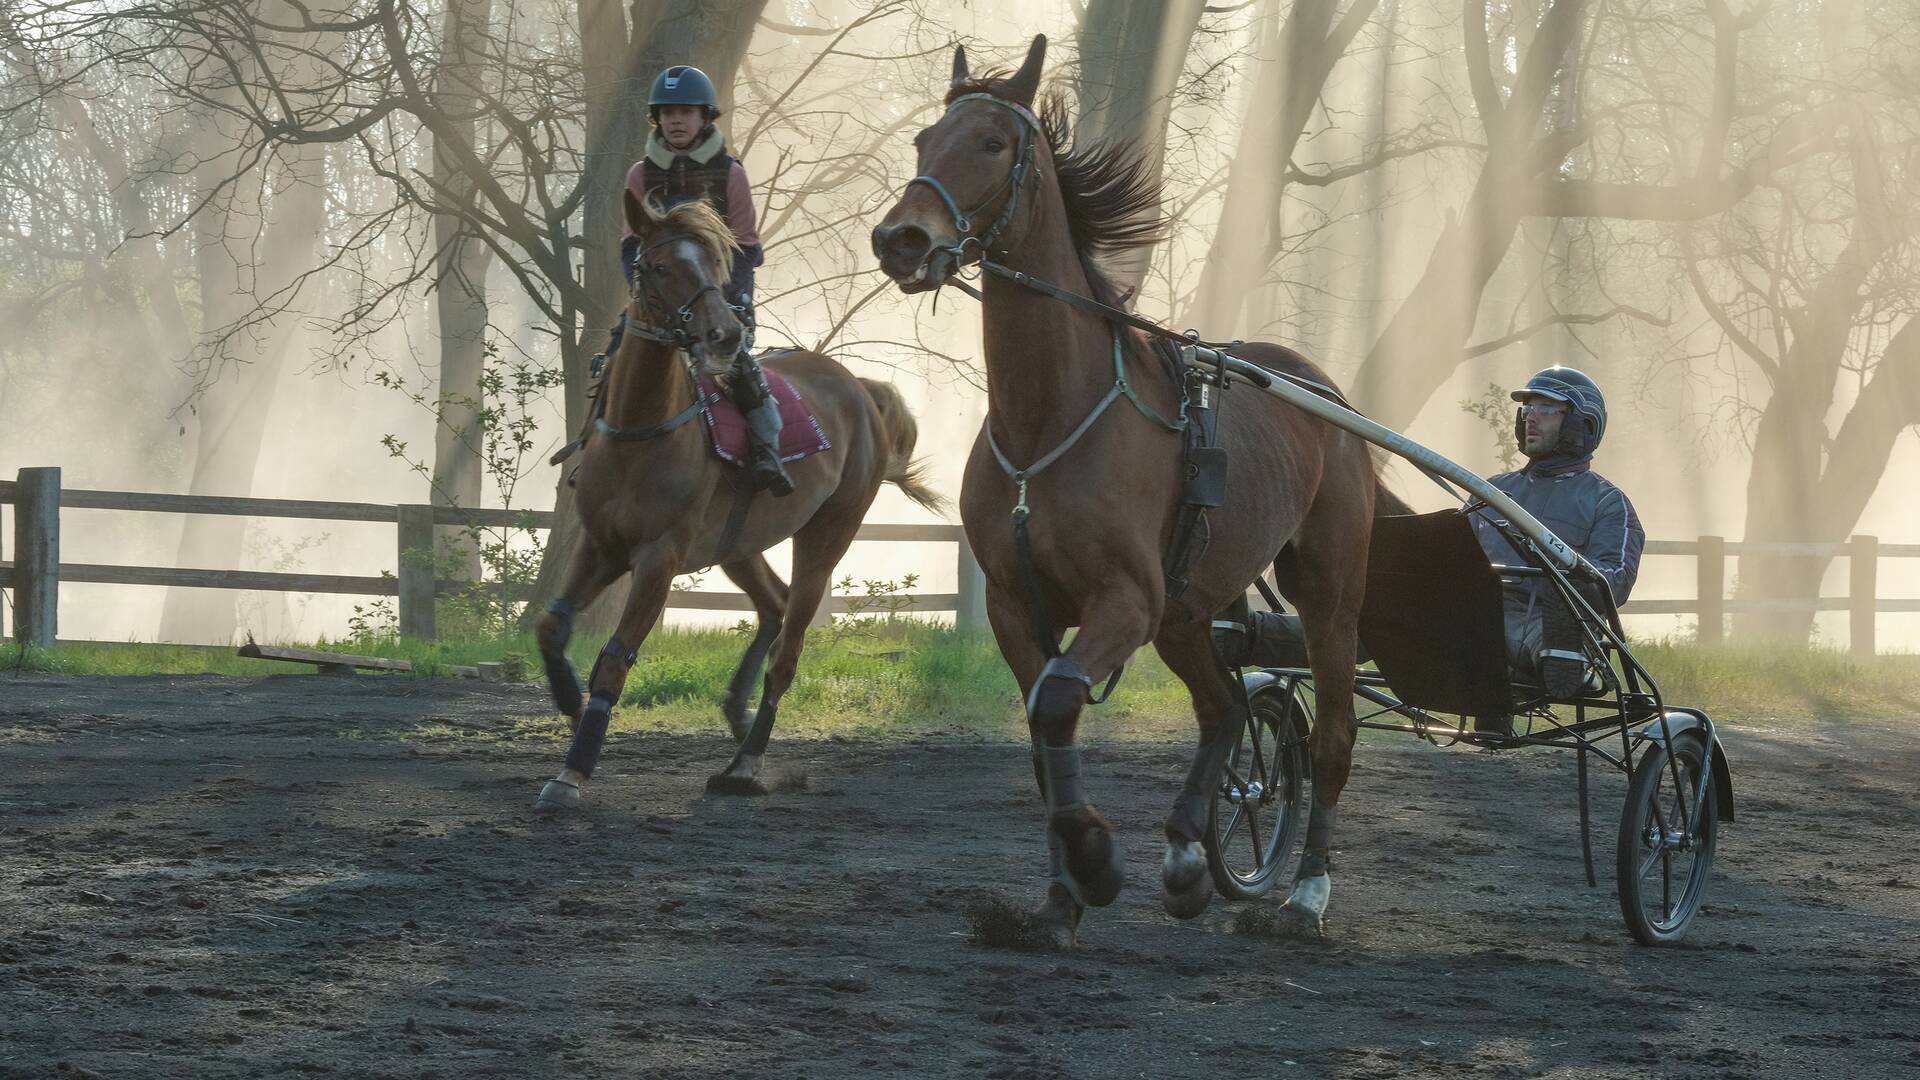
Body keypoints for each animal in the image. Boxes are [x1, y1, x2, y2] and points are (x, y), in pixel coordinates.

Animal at [537, 191, 940, 807]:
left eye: (715, 264)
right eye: (660, 266)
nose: (725, 334)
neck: (642, 429)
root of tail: (861, 391)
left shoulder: (658, 560)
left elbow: (614, 658)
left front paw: (573, 770)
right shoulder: (600, 545)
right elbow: (550, 625)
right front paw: (569, 700)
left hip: (829, 533)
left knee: (788, 648)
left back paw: (745, 763)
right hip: (738, 545)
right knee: (773, 605)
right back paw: (737, 713)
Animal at [879, 35, 1405, 941]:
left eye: (992, 141)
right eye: (922, 141)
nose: (901, 239)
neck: (1050, 420)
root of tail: (1323, 392)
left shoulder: (1125, 597)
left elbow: (1059, 702)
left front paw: (1095, 861)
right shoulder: (1020, 605)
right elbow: (1042, 730)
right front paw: (1059, 900)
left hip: (1327, 593)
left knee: (1332, 735)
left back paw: (1304, 894)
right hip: (1188, 608)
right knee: (1224, 706)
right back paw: (1191, 858)